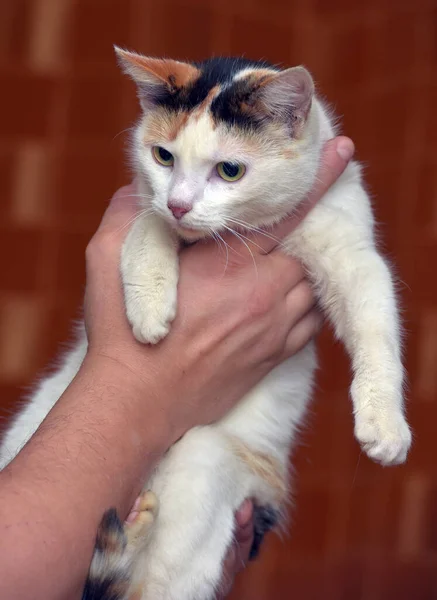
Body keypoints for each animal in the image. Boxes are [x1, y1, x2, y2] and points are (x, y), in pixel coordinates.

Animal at [0, 50, 410, 600]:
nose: (179, 203)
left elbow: (375, 323)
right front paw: (150, 306)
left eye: (229, 170)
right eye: (163, 157)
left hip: (207, 459)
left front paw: (384, 424)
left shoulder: (350, 248)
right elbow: (147, 225)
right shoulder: (141, 200)